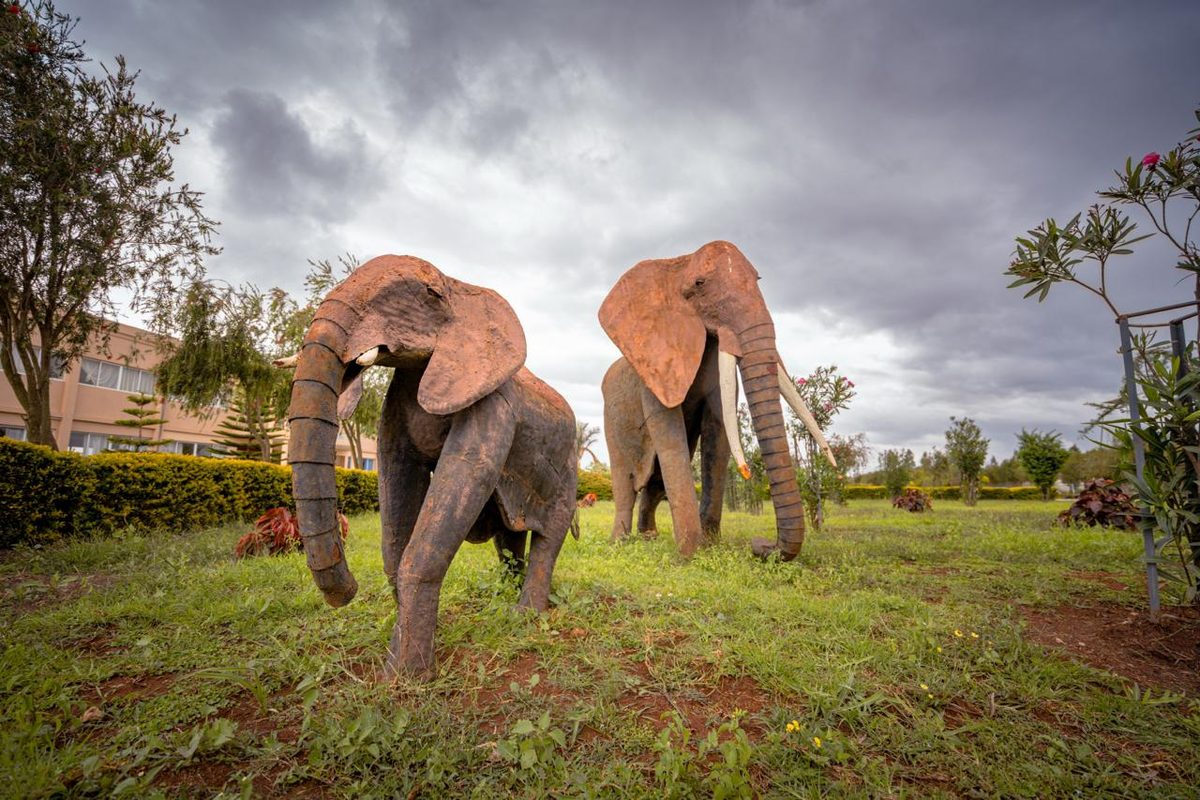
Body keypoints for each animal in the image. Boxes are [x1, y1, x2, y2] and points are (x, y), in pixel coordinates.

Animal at [284, 254, 578, 679]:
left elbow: (452, 497)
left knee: (548, 538)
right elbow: (396, 488)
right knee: (509, 536)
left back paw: (525, 615)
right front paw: (398, 669)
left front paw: (405, 677)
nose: (350, 590)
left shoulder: (494, 407)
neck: (464, 288)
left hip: (568, 468)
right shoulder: (396, 404)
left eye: (429, 294)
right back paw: (505, 594)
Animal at [599, 240, 835, 561]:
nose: (761, 545)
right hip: (611, 417)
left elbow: (719, 433)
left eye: (758, 280)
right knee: (627, 482)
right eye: (699, 284)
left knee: (655, 483)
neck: (676, 265)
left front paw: (710, 547)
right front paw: (690, 556)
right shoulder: (655, 371)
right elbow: (670, 437)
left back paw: (648, 538)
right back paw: (620, 542)